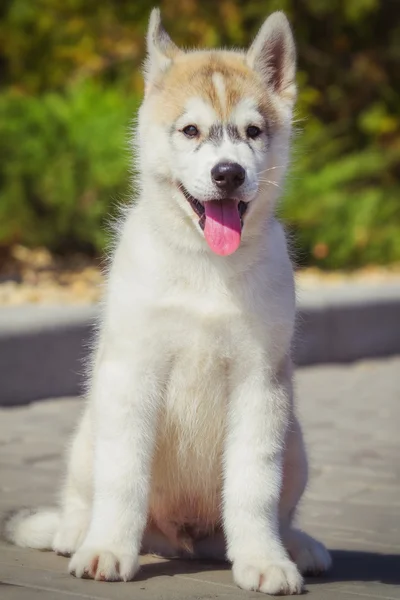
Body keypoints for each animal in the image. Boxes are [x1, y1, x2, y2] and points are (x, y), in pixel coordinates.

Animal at [3, 9, 332, 596]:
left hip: (293, 441)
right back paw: (74, 532)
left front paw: (265, 559)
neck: (206, 268)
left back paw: (296, 544)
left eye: (252, 132)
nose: (229, 173)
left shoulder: (260, 384)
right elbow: (123, 478)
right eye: (191, 130)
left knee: (277, 507)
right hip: (89, 431)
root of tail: (181, 539)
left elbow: (254, 487)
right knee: (83, 496)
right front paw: (108, 549)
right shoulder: (133, 374)